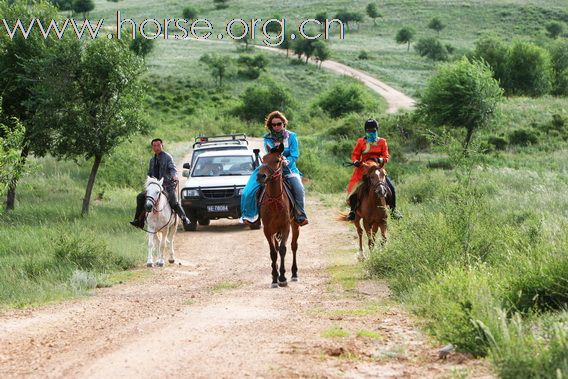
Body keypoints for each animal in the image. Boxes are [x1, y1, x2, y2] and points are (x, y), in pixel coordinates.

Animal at [258, 142, 302, 288]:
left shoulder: (285, 227)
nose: (260, 176)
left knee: (294, 246)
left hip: (295, 225)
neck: (274, 200)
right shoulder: (267, 230)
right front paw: (274, 278)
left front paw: (282, 277)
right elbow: (273, 252)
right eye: (263, 159)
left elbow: (283, 249)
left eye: (277, 160)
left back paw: (294, 274)